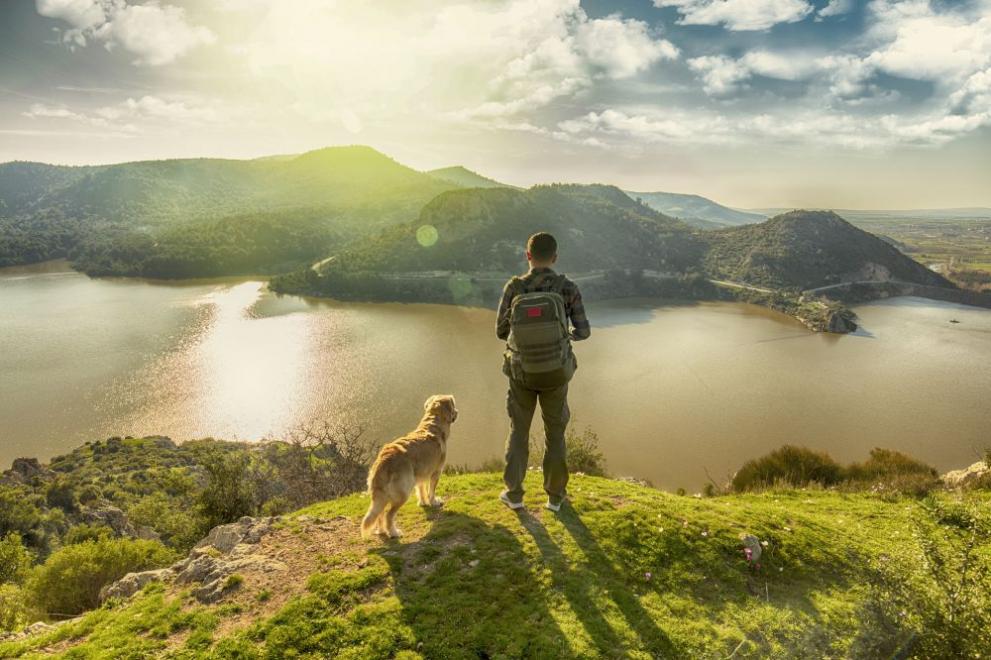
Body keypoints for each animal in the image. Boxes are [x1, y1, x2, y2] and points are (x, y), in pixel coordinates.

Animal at [362, 394, 460, 540]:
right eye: (453, 406)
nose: (457, 411)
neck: (433, 424)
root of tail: (384, 461)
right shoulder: (436, 472)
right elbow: (431, 491)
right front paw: (434, 502)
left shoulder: (420, 475)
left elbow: (421, 490)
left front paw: (423, 503)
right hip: (402, 493)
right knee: (388, 515)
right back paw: (393, 533)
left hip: (382, 495)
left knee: (379, 513)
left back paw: (382, 531)